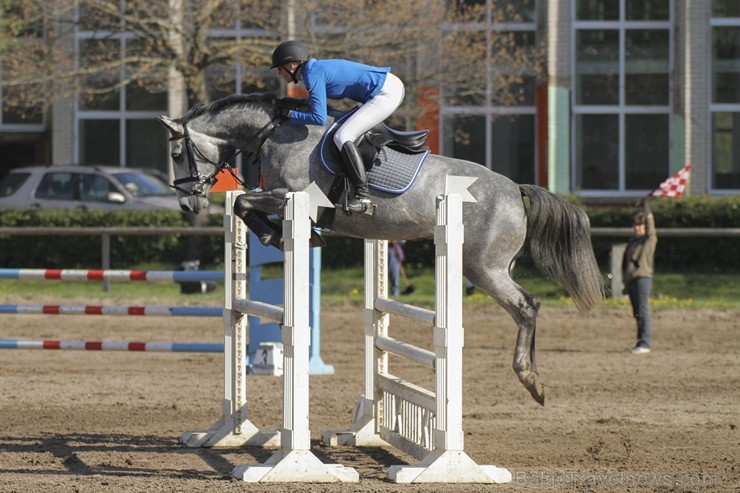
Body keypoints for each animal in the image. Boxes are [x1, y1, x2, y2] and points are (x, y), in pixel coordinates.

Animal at [159, 92, 604, 404]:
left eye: (177, 153)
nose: (187, 204)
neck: (274, 132)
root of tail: (515, 189)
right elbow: (245, 204)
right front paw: (287, 235)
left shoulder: (289, 195)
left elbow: (244, 203)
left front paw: (274, 235)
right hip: (492, 267)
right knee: (527, 306)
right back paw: (536, 378)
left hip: (483, 268)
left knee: (527, 305)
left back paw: (530, 379)